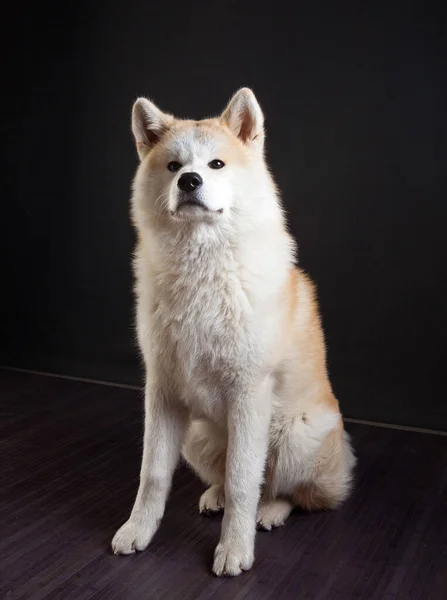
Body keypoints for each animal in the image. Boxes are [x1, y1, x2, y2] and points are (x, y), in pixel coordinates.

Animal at [113, 88, 356, 576]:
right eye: (173, 165)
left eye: (216, 164)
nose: (189, 181)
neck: (202, 271)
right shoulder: (161, 391)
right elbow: (153, 474)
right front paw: (138, 531)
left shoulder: (248, 393)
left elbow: (247, 479)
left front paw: (235, 549)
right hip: (197, 435)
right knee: (230, 476)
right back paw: (216, 495)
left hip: (294, 433)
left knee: (287, 490)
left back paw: (270, 511)